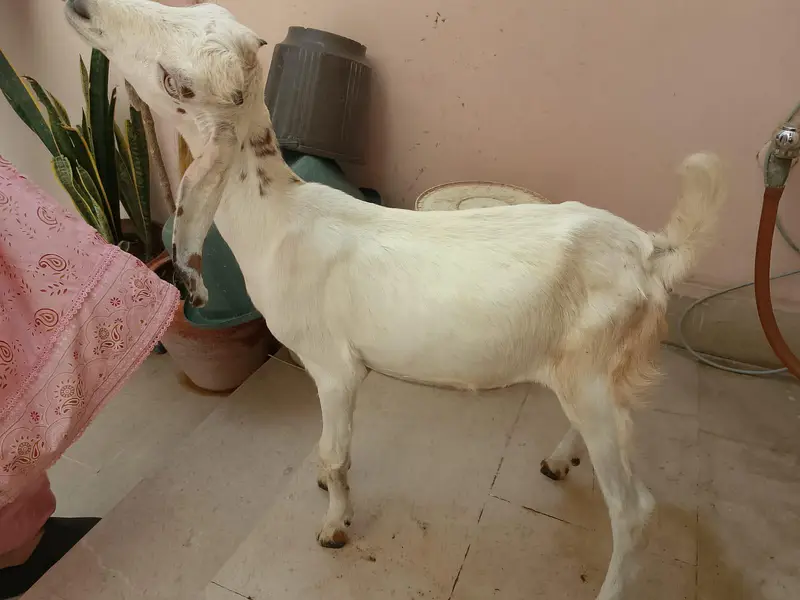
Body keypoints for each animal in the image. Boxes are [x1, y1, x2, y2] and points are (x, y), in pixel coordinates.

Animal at [65, 2, 726, 598]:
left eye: (177, 82)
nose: (80, 6)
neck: (278, 219)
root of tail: (648, 250)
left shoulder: (334, 367)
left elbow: (335, 454)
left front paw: (334, 526)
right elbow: (327, 452)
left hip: (593, 375)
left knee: (635, 511)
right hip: (587, 376)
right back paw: (560, 460)